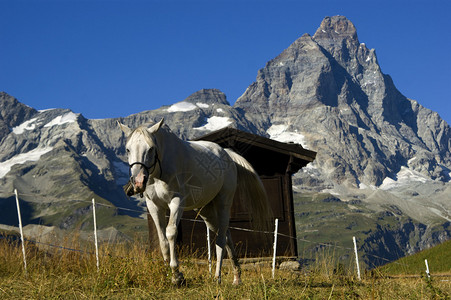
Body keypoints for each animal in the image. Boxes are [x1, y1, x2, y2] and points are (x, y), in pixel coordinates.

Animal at [117, 118, 272, 284]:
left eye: (151, 148)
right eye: (128, 149)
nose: (138, 182)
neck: (160, 169)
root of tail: (228, 156)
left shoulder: (177, 201)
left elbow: (171, 232)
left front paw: (176, 275)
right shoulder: (154, 206)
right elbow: (162, 240)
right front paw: (167, 273)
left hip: (223, 203)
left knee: (221, 238)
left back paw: (217, 277)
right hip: (206, 211)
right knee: (226, 235)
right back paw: (237, 277)